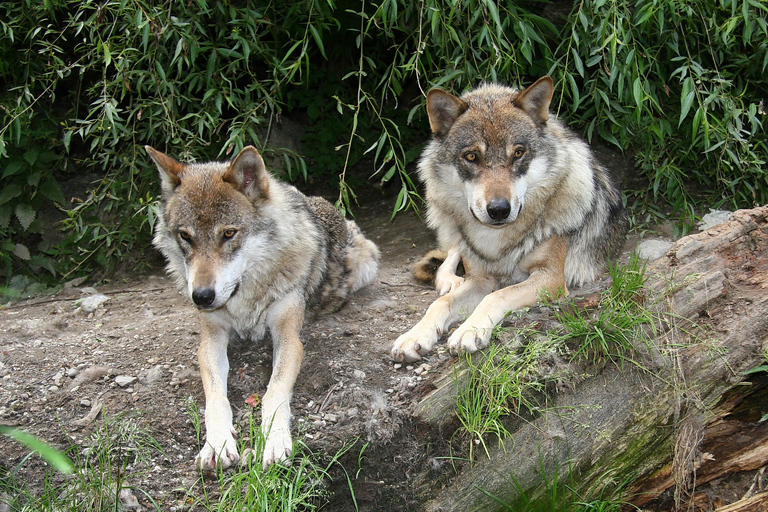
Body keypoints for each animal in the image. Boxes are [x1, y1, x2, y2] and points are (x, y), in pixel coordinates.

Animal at [146, 143, 380, 468]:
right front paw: (216, 444)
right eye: (185, 236)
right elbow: (215, 399)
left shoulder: (288, 337)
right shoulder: (210, 340)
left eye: (228, 233)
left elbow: (275, 391)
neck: (245, 297)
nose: (202, 297)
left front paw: (274, 441)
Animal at [392, 76, 628, 364]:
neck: (497, 241)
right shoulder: (481, 279)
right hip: (453, 232)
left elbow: (497, 295)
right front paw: (414, 335)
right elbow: (441, 303)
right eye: (471, 156)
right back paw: (450, 282)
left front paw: (469, 329)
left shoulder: (550, 278)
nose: (499, 210)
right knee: (448, 261)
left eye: (518, 153)